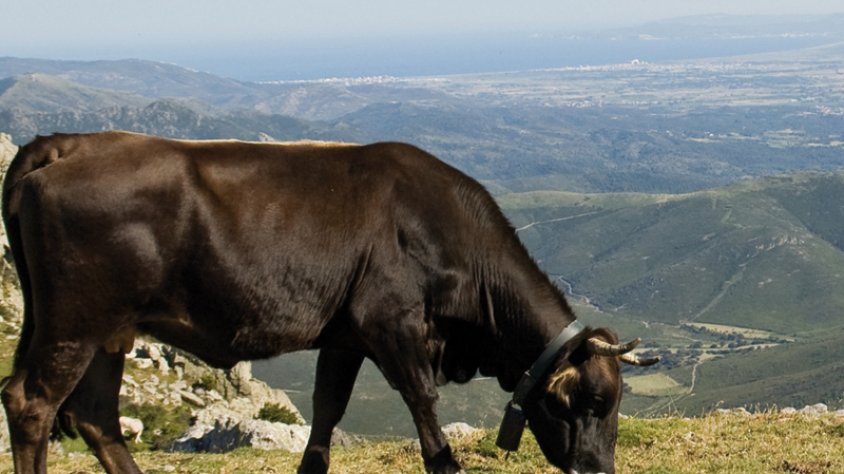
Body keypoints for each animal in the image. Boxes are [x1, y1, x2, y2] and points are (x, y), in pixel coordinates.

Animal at [1, 131, 657, 474]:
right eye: (590, 401)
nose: (600, 471)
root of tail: (71, 143)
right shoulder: (389, 324)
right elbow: (423, 403)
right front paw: (446, 463)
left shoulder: (344, 336)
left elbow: (326, 411)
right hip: (75, 320)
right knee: (32, 402)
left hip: (110, 330)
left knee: (94, 414)